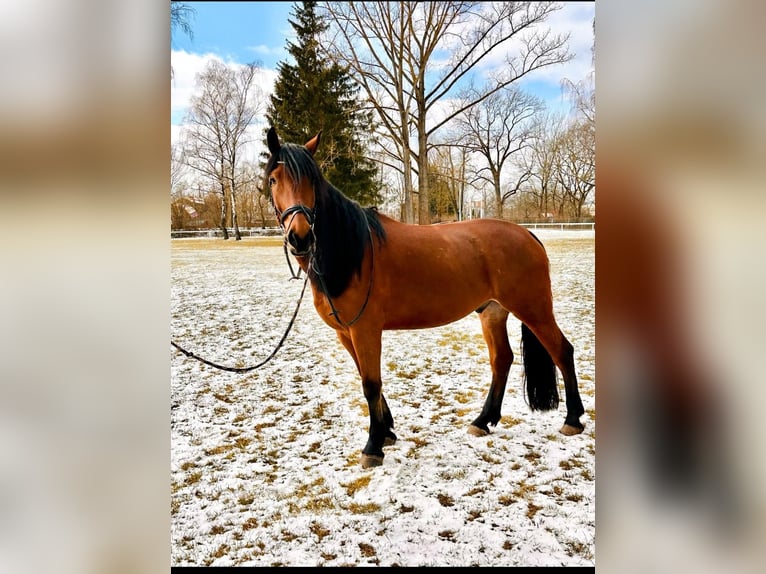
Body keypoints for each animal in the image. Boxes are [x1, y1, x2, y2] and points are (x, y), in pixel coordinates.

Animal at [266, 127, 588, 468]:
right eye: (273, 179)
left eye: (311, 180)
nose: (300, 237)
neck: (353, 251)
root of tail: (527, 234)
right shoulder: (346, 333)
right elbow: (369, 381)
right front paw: (387, 432)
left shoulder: (365, 330)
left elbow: (371, 384)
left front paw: (373, 446)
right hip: (493, 312)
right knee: (502, 359)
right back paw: (482, 421)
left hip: (534, 309)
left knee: (562, 351)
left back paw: (573, 419)